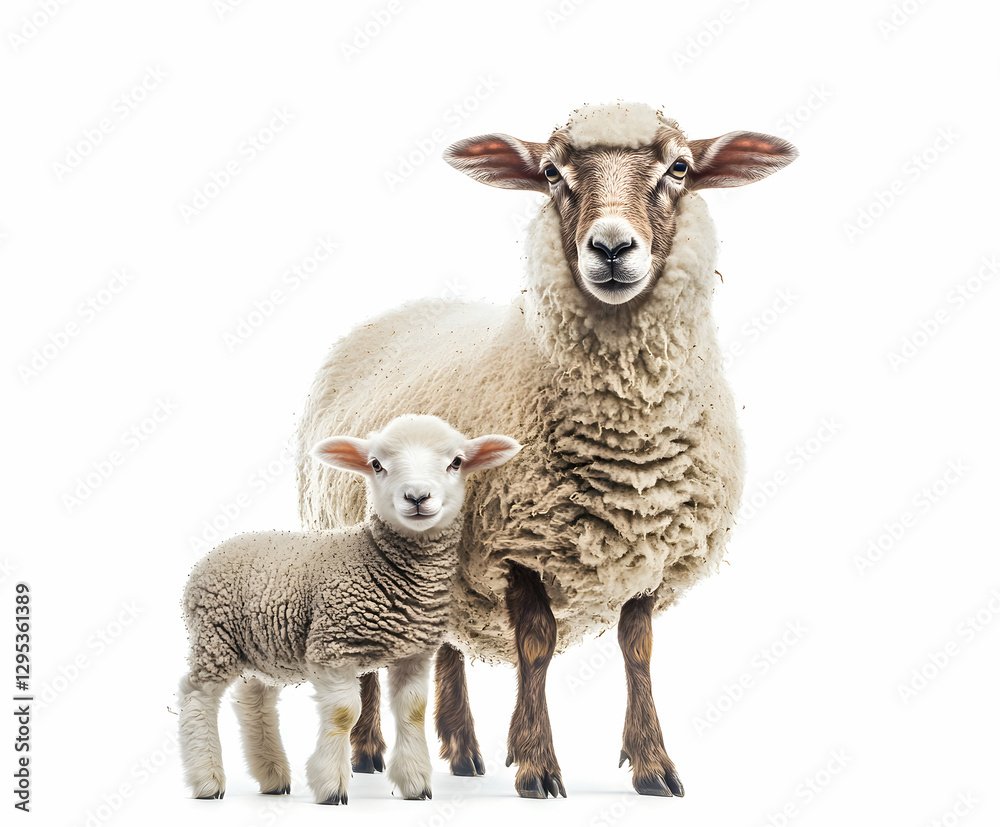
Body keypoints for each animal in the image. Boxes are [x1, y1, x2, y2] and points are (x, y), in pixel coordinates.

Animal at [178, 414, 521, 804]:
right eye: (376, 464)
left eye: (457, 462)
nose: (417, 497)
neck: (378, 558)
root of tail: (214, 552)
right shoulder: (332, 645)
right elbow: (344, 713)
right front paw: (331, 787)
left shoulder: (414, 653)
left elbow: (413, 711)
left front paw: (415, 784)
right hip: (215, 637)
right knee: (196, 695)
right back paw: (207, 779)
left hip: (264, 649)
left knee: (254, 702)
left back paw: (272, 777)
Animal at [296, 101, 798, 799]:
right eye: (553, 173)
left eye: (679, 168)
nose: (611, 247)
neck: (628, 443)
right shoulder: (517, 543)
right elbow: (536, 646)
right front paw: (537, 765)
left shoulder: (649, 545)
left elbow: (637, 647)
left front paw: (652, 764)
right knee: (372, 656)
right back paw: (369, 750)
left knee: (445, 644)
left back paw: (463, 751)